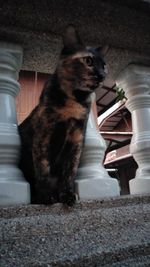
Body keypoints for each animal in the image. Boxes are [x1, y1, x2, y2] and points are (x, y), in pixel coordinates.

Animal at [18, 25, 108, 206]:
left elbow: (69, 173)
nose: (102, 75)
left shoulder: (76, 140)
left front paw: (67, 195)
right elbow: (43, 169)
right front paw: (46, 196)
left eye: (104, 65)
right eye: (88, 61)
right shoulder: (43, 136)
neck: (75, 101)